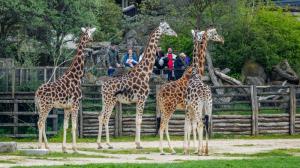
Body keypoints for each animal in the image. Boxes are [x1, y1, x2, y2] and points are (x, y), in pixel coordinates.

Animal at [96, 21, 176, 149]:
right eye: (167, 28)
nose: (175, 34)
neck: (145, 72)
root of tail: (102, 86)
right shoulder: (142, 99)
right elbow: (139, 120)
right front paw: (139, 144)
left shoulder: (138, 100)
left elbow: (136, 120)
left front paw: (136, 143)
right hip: (110, 100)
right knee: (105, 118)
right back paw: (107, 144)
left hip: (107, 100)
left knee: (100, 116)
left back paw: (100, 144)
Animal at [184, 27, 224, 155]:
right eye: (215, 33)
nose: (222, 39)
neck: (195, 74)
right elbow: (191, 126)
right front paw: (194, 149)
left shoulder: (188, 107)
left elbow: (189, 126)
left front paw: (189, 149)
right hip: (208, 106)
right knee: (207, 123)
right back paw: (205, 150)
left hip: (197, 107)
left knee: (200, 124)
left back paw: (200, 151)